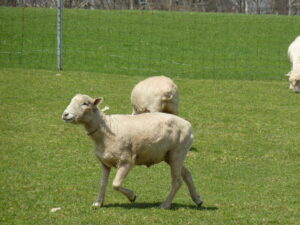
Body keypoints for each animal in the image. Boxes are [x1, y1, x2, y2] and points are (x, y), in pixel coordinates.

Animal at [61, 93, 203, 209]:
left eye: (85, 103)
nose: (65, 114)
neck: (105, 130)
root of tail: (188, 125)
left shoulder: (126, 161)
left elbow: (115, 184)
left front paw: (132, 196)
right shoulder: (105, 163)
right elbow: (103, 183)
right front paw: (98, 202)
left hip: (177, 153)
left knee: (177, 181)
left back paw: (165, 204)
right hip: (170, 155)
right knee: (187, 174)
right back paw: (197, 199)